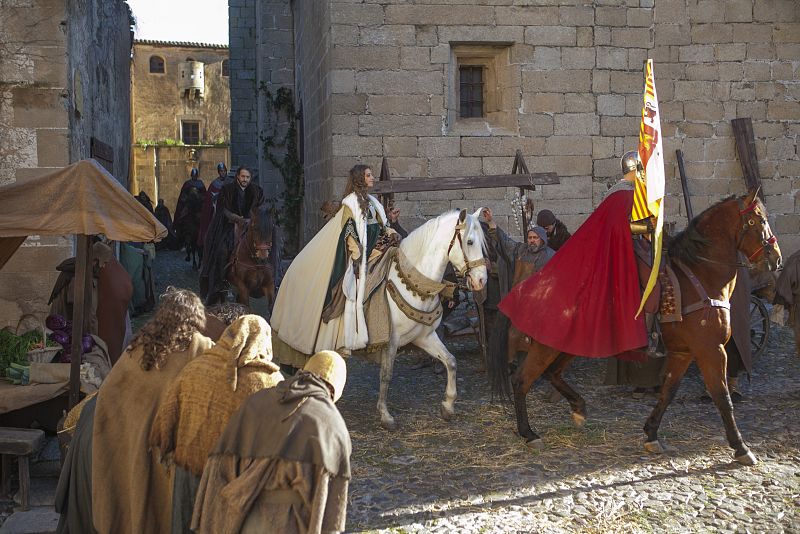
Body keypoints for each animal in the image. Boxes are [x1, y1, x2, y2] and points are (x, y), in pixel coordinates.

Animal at [376, 209, 488, 432]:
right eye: (469, 242)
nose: (482, 280)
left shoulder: (424, 336)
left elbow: (451, 361)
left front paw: (448, 406)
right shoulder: (390, 341)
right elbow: (386, 374)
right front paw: (385, 416)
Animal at [488, 191, 780, 466]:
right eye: (758, 220)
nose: (775, 259)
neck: (700, 274)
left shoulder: (684, 352)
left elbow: (668, 392)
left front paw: (651, 434)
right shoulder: (711, 349)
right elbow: (722, 396)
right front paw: (741, 447)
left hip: (567, 344)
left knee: (552, 373)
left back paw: (578, 408)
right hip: (546, 346)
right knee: (522, 381)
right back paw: (529, 433)